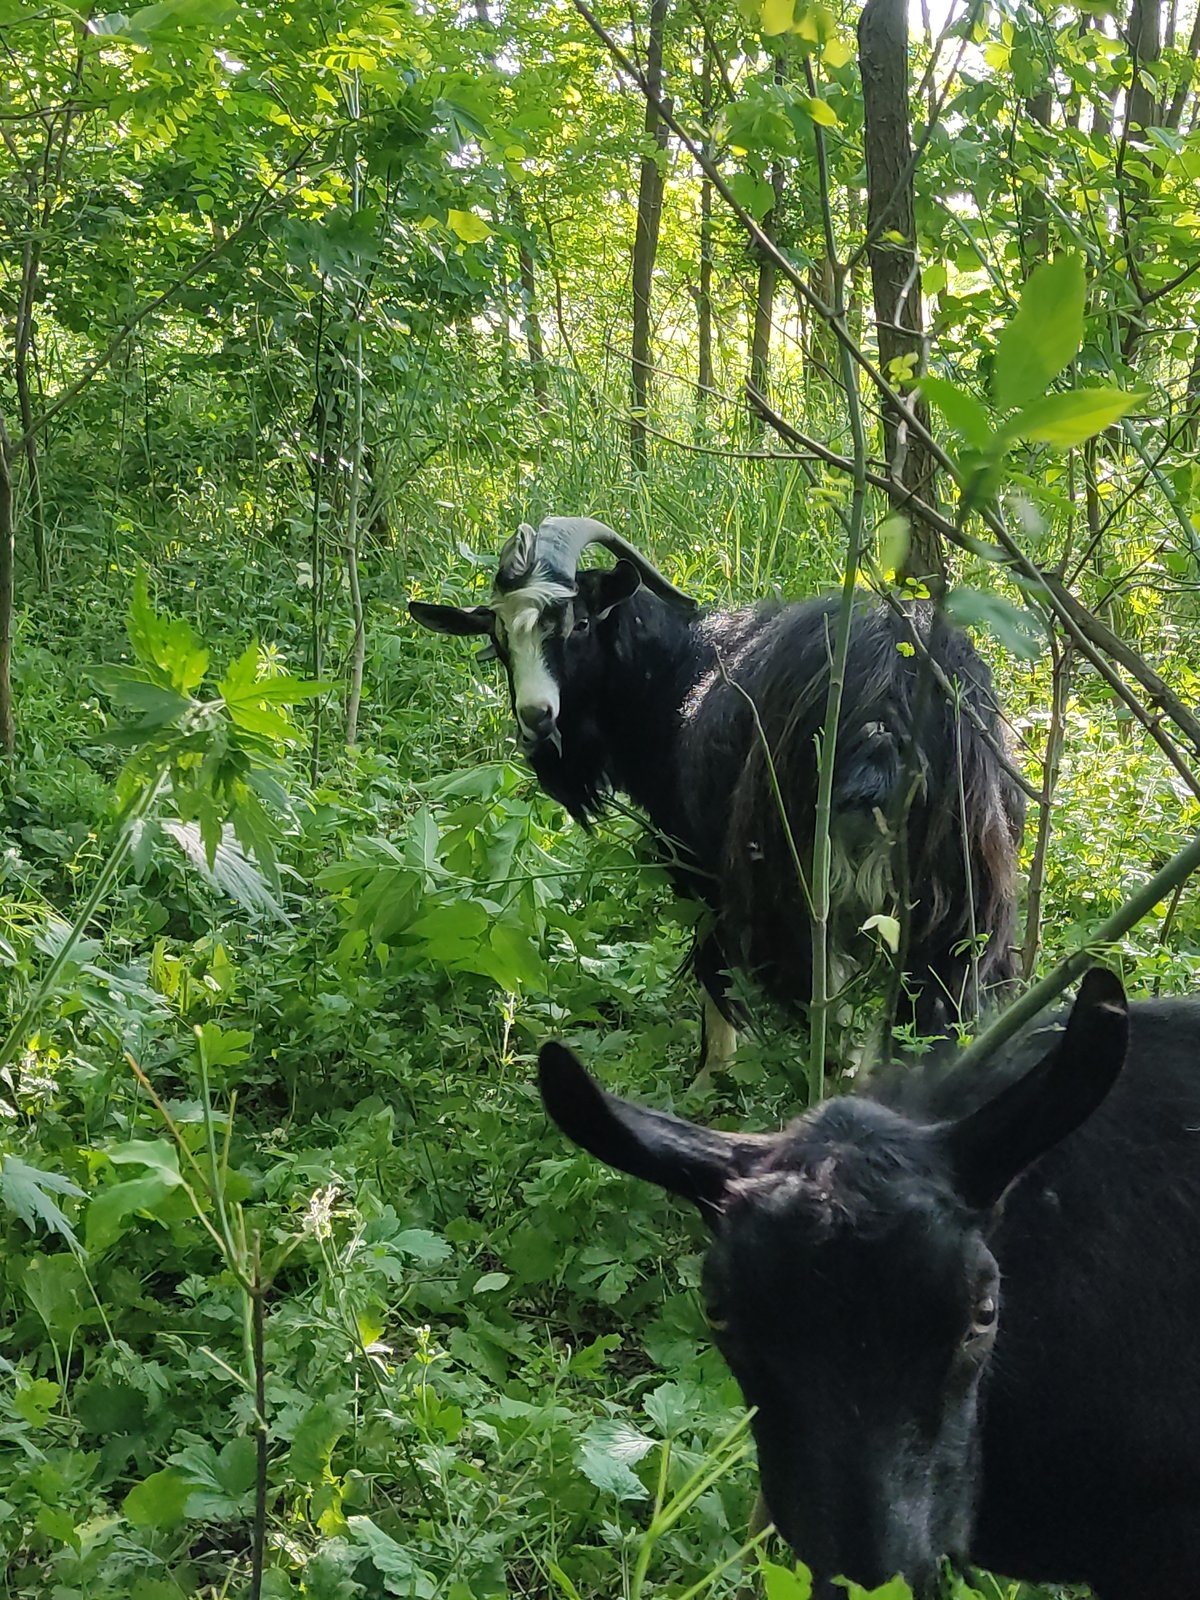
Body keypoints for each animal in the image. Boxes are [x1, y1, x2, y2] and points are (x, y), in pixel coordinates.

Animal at [410, 516, 1024, 1038]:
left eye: (578, 623)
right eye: (498, 641)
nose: (537, 718)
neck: (679, 668)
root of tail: (888, 688)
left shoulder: (698, 867)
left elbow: (716, 985)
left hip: (794, 886)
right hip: (960, 899)